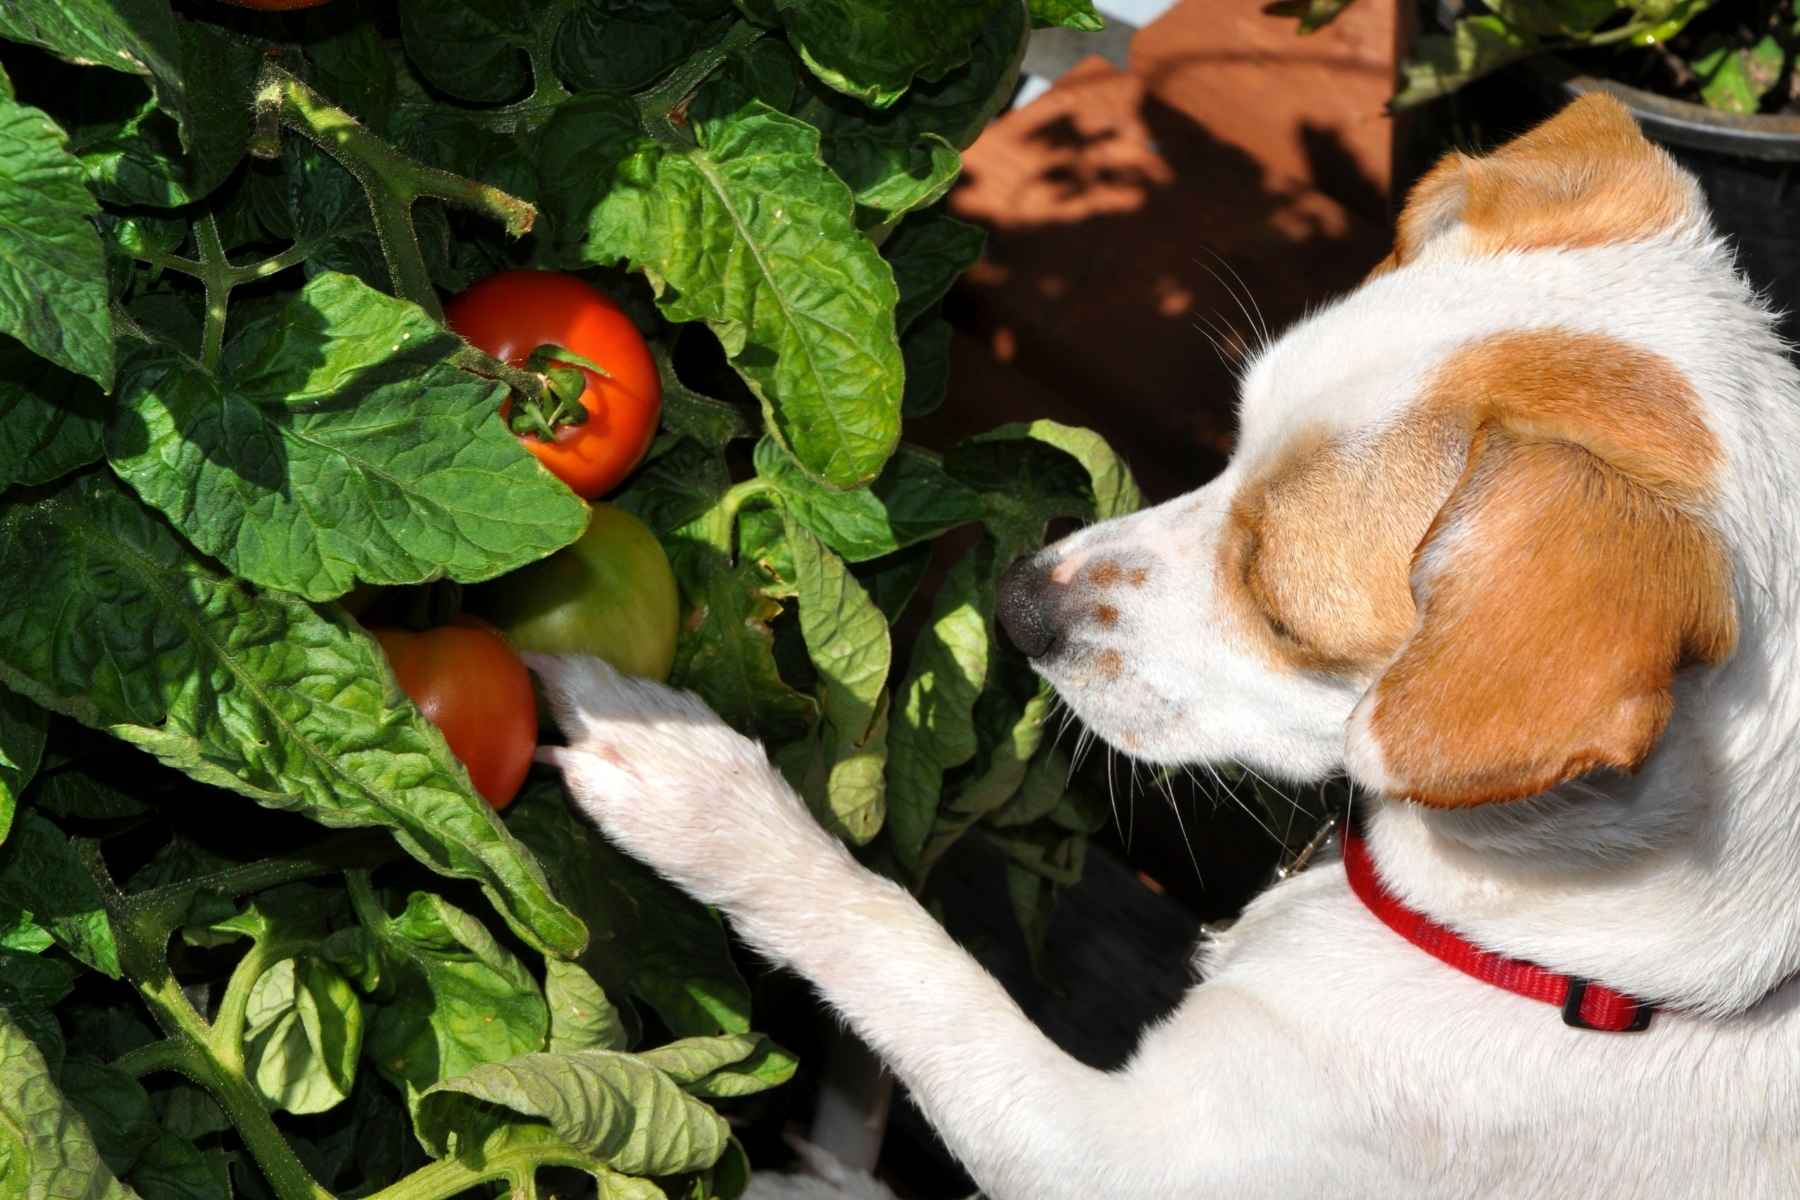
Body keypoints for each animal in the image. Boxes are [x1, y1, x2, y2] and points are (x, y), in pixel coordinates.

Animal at [525, 96, 1800, 1200]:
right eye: (1230, 441)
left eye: (1283, 616)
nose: (1020, 602)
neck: (1596, 969)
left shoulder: (1106, 1152)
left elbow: (902, 947)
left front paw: (700, 791)